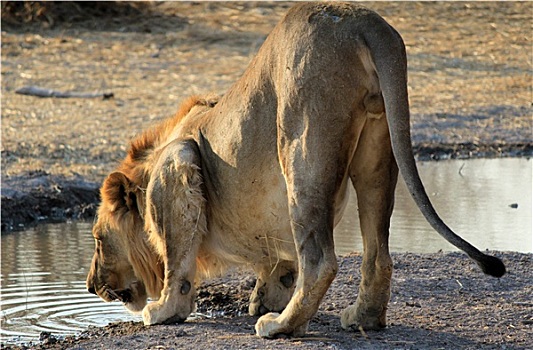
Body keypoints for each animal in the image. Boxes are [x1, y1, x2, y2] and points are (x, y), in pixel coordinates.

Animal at [86, 1, 502, 338]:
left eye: (98, 239)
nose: (90, 286)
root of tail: (365, 23)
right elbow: (281, 262)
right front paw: (266, 297)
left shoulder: (180, 159)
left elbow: (177, 260)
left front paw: (164, 311)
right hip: (378, 149)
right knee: (377, 252)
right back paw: (362, 318)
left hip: (299, 146)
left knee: (320, 260)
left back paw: (281, 326)